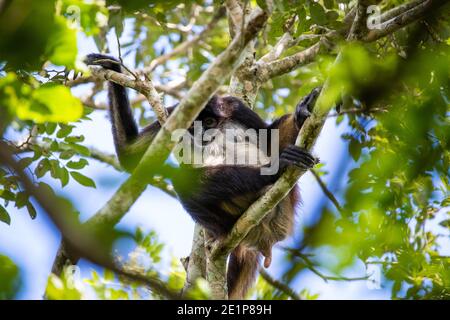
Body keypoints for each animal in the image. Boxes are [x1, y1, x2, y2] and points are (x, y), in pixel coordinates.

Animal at [85, 53, 320, 300]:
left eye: (208, 123)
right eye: (193, 125)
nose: (203, 134)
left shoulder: (235, 107)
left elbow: (268, 138)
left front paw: (301, 114)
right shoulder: (173, 114)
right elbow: (130, 155)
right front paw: (111, 66)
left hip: (284, 206)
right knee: (184, 183)